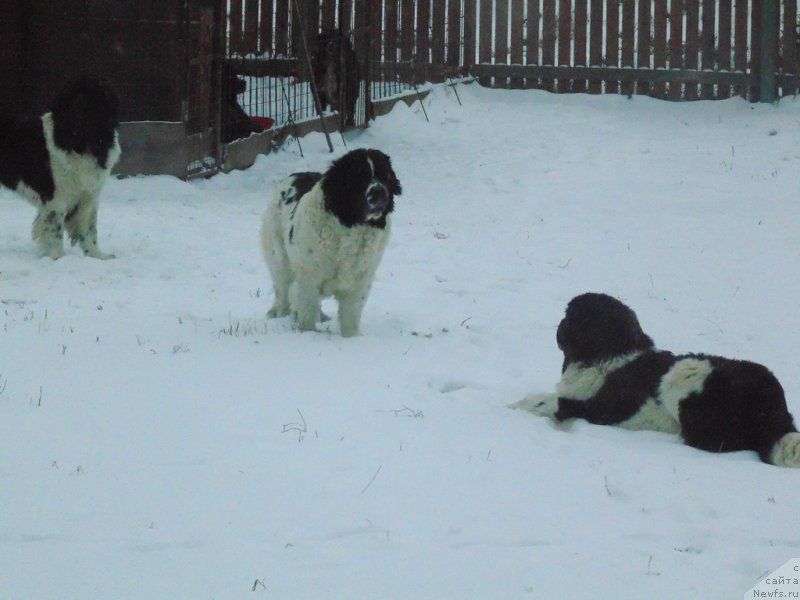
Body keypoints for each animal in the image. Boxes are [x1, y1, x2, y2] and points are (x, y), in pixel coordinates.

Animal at [0, 73, 120, 258]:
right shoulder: (56, 198)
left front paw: (97, 256)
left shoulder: (89, 195)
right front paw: (58, 258)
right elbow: (55, 231)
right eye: (74, 98)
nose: (80, 109)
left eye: (97, 97)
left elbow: (89, 229)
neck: (84, 141)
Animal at [260, 149, 400, 338]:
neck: (351, 227)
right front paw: (307, 333)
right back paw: (279, 317)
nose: (379, 192)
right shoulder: (309, 277)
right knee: (283, 292)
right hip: (280, 260)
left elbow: (351, 315)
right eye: (359, 176)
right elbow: (307, 310)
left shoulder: (361, 281)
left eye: (385, 176)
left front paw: (352, 338)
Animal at [512, 292, 800, 466]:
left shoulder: (594, 409)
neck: (607, 355)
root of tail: (776, 410)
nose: (560, 328)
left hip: (685, 371)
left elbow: (543, 402)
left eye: (576, 316)